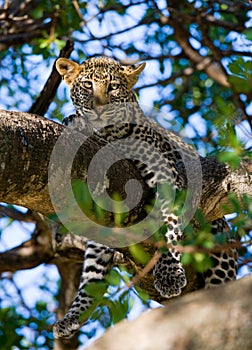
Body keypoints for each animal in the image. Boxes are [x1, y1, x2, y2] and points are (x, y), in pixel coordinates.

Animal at [53, 56, 238, 338]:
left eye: (113, 87)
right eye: (87, 85)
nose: (99, 109)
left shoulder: (166, 178)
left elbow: (168, 227)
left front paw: (169, 274)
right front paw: (76, 121)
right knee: (93, 273)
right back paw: (72, 316)